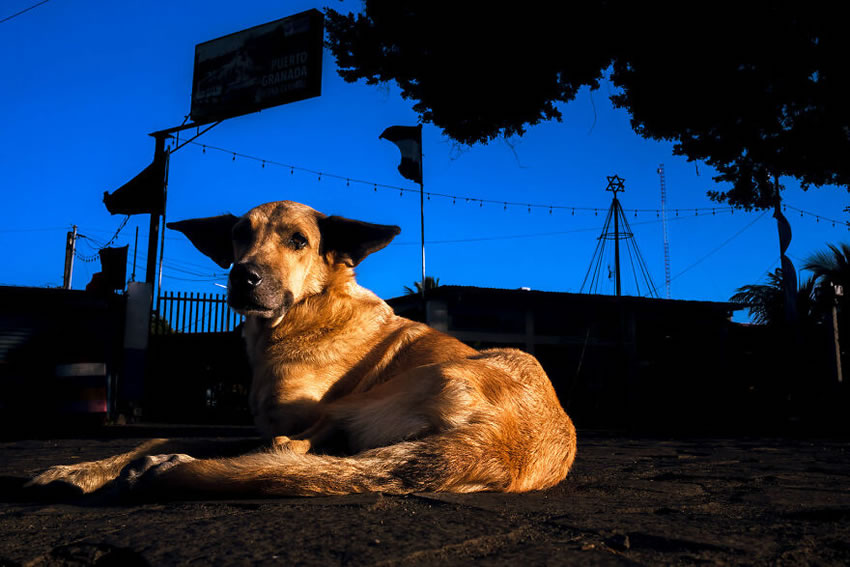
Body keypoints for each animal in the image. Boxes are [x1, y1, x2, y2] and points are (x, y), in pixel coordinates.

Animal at [26, 203, 576, 496]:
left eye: (298, 240)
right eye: (238, 234)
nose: (243, 276)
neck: (304, 314)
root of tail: (500, 446)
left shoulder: (298, 417)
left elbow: (261, 444)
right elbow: (151, 439)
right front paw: (76, 470)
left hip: (374, 396)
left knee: (288, 452)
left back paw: (171, 469)